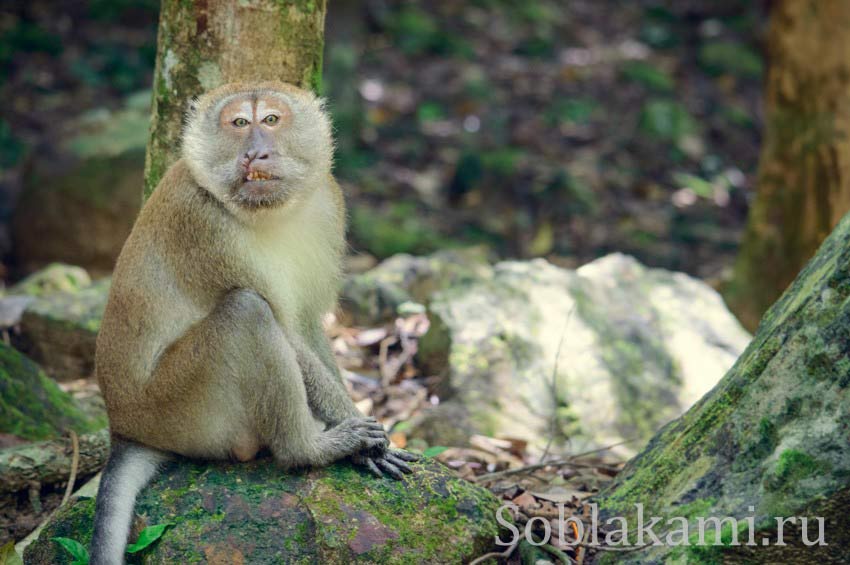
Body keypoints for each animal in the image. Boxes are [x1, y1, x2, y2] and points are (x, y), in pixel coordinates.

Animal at [89, 80, 418, 564]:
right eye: (240, 122)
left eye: (271, 120)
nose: (254, 154)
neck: (270, 212)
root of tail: (124, 426)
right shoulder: (202, 224)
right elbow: (284, 331)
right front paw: (362, 438)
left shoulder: (329, 203)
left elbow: (306, 325)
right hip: (179, 409)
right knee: (247, 311)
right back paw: (307, 449)